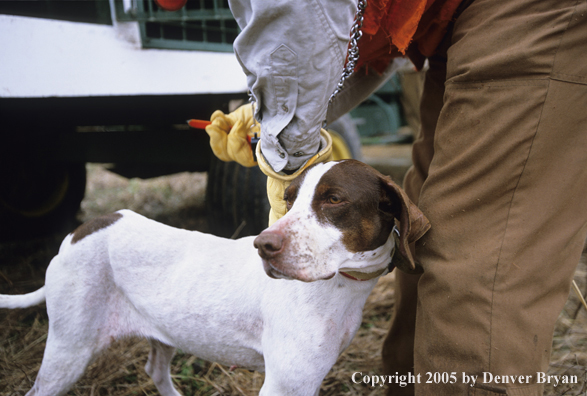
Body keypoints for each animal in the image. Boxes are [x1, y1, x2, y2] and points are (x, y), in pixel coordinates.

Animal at [1, 159, 432, 394]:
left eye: (335, 199)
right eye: (289, 200)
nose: (263, 245)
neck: (340, 288)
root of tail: (79, 233)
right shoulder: (286, 385)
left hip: (164, 332)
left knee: (155, 370)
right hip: (68, 350)